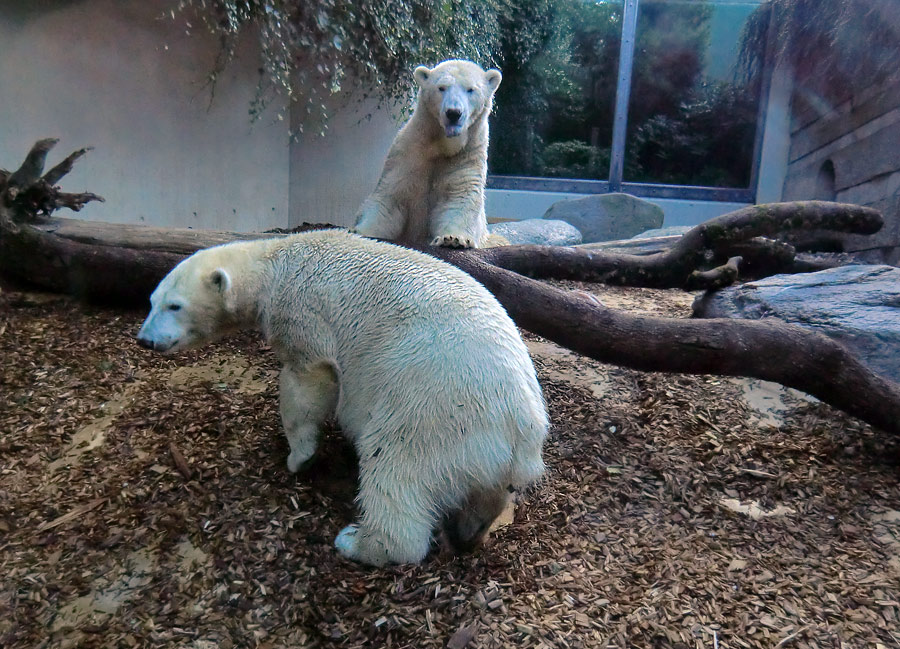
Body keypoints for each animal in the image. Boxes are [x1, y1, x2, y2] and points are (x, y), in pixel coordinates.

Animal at [137, 230, 548, 564]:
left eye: (174, 306)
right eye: (152, 301)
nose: (145, 340)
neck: (273, 263)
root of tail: (522, 427)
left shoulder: (301, 313)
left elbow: (308, 382)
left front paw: (299, 457)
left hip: (434, 406)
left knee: (396, 469)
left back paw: (358, 542)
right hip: (485, 452)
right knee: (483, 495)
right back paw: (468, 533)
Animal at [354, 60, 506, 248]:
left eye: (471, 89)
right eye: (441, 87)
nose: (453, 113)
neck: (441, 144)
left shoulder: (468, 155)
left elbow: (460, 197)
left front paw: (454, 239)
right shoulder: (409, 153)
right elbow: (390, 197)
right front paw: (362, 231)